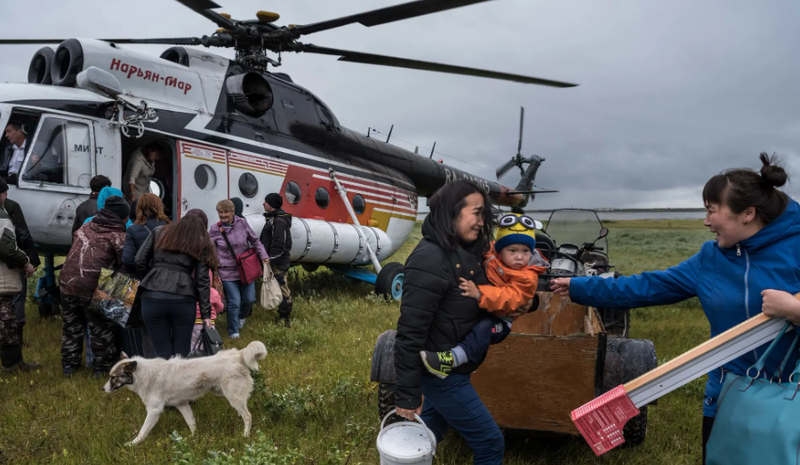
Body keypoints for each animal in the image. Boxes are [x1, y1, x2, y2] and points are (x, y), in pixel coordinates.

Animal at [103, 338, 268, 444]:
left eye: (113, 377)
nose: (103, 389)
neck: (143, 375)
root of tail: (237, 354)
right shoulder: (182, 405)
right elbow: (191, 423)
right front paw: (194, 438)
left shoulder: (154, 410)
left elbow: (142, 431)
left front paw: (133, 443)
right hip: (224, 393)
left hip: (232, 396)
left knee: (248, 416)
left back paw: (245, 435)